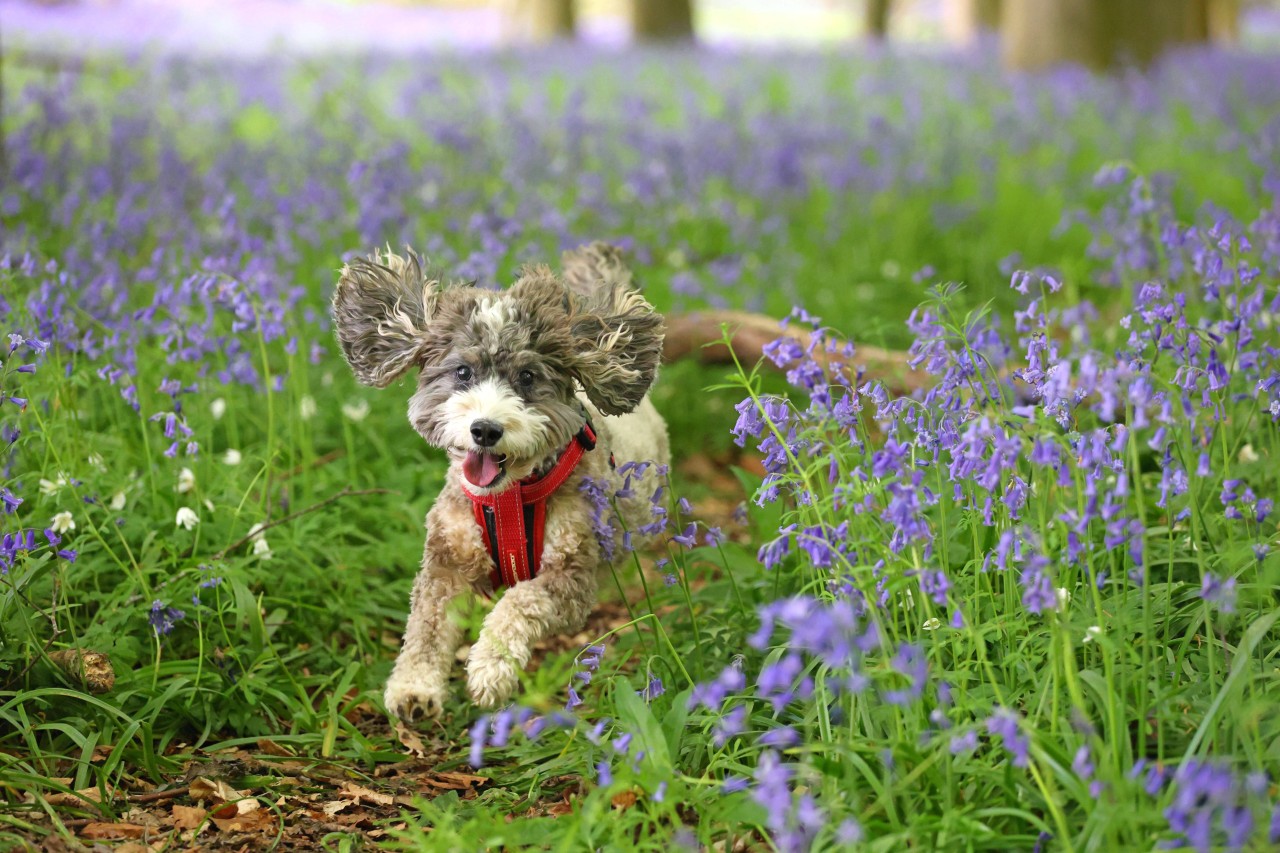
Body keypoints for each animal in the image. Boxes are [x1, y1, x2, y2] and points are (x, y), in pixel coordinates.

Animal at [330, 240, 670, 717]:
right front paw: (414, 688)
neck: (509, 497)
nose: (486, 430)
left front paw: (491, 669)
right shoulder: (448, 560)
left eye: (527, 377)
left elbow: (519, 603)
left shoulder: (570, 573)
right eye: (463, 372)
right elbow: (426, 627)